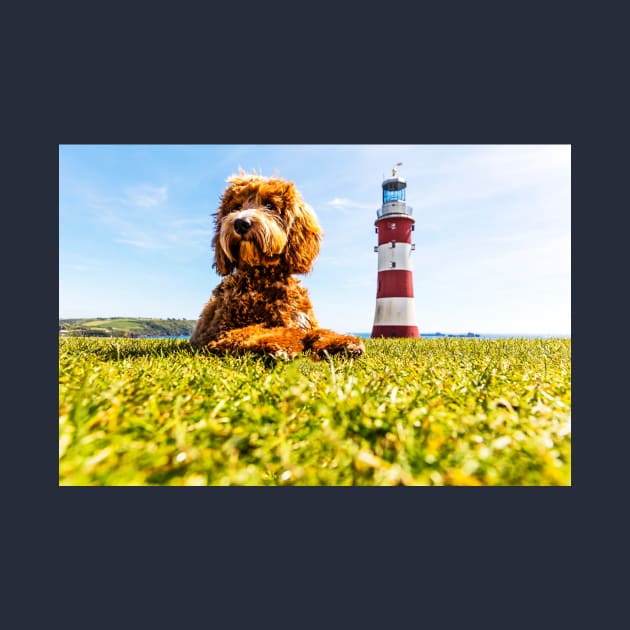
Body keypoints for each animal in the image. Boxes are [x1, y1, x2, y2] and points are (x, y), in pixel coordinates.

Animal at [189, 173, 366, 360]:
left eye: (269, 205)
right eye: (236, 207)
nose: (241, 223)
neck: (264, 275)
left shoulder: (304, 320)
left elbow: (320, 331)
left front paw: (343, 341)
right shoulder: (221, 334)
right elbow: (258, 331)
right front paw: (285, 342)